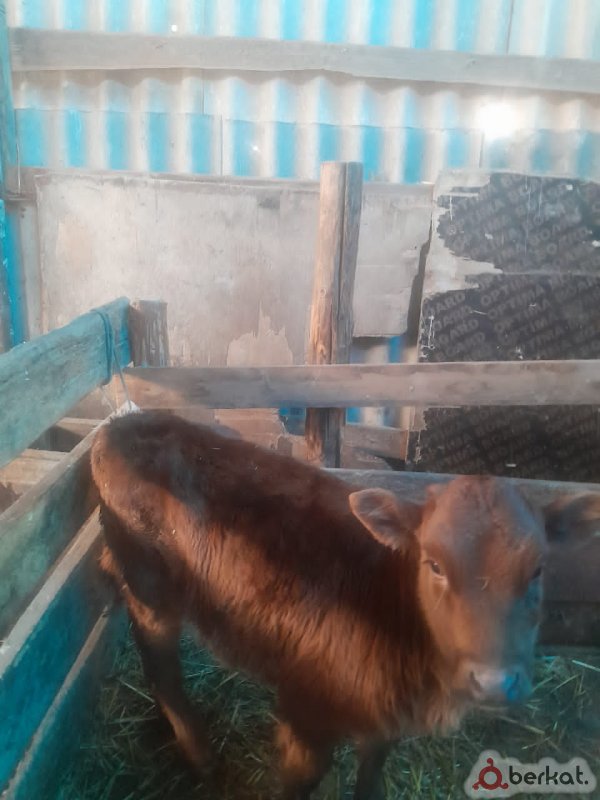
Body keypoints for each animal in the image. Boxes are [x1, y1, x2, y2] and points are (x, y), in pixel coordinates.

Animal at [91, 411, 600, 799]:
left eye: (538, 569)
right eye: (434, 564)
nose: (494, 683)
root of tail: (120, 423)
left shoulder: (383, 722)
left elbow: (371, 775)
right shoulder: (305, 711)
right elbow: (299, 782)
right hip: (150, 588)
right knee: (161, 668)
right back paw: (200, 757)